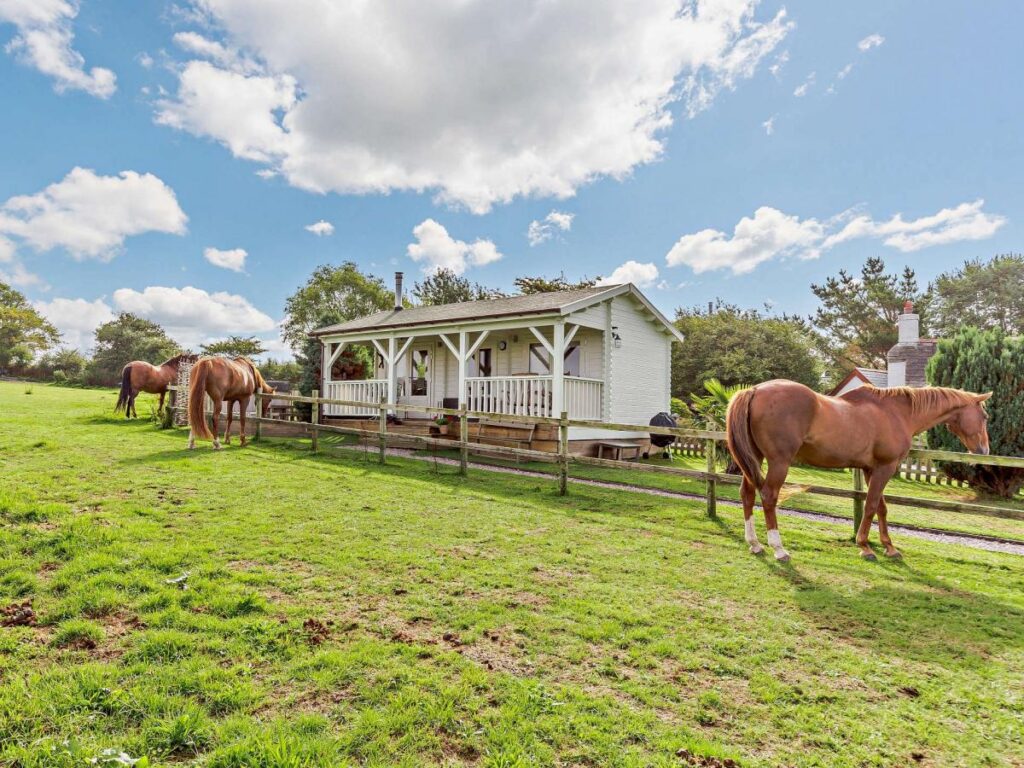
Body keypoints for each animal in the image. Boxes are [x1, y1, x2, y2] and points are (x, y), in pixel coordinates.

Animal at [724, 382, 987, 561]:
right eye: (984, 416)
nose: (984, 450)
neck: (896, 413)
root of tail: (754, 390)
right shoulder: (885, 468)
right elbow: (870, 506)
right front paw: (865, 546)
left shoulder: (872, 469)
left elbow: (881, 507)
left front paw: (889, 546)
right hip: (779, 462)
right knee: (769, 496)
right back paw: (778, 548)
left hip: (755, 459)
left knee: (747, 494)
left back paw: (754, 543)